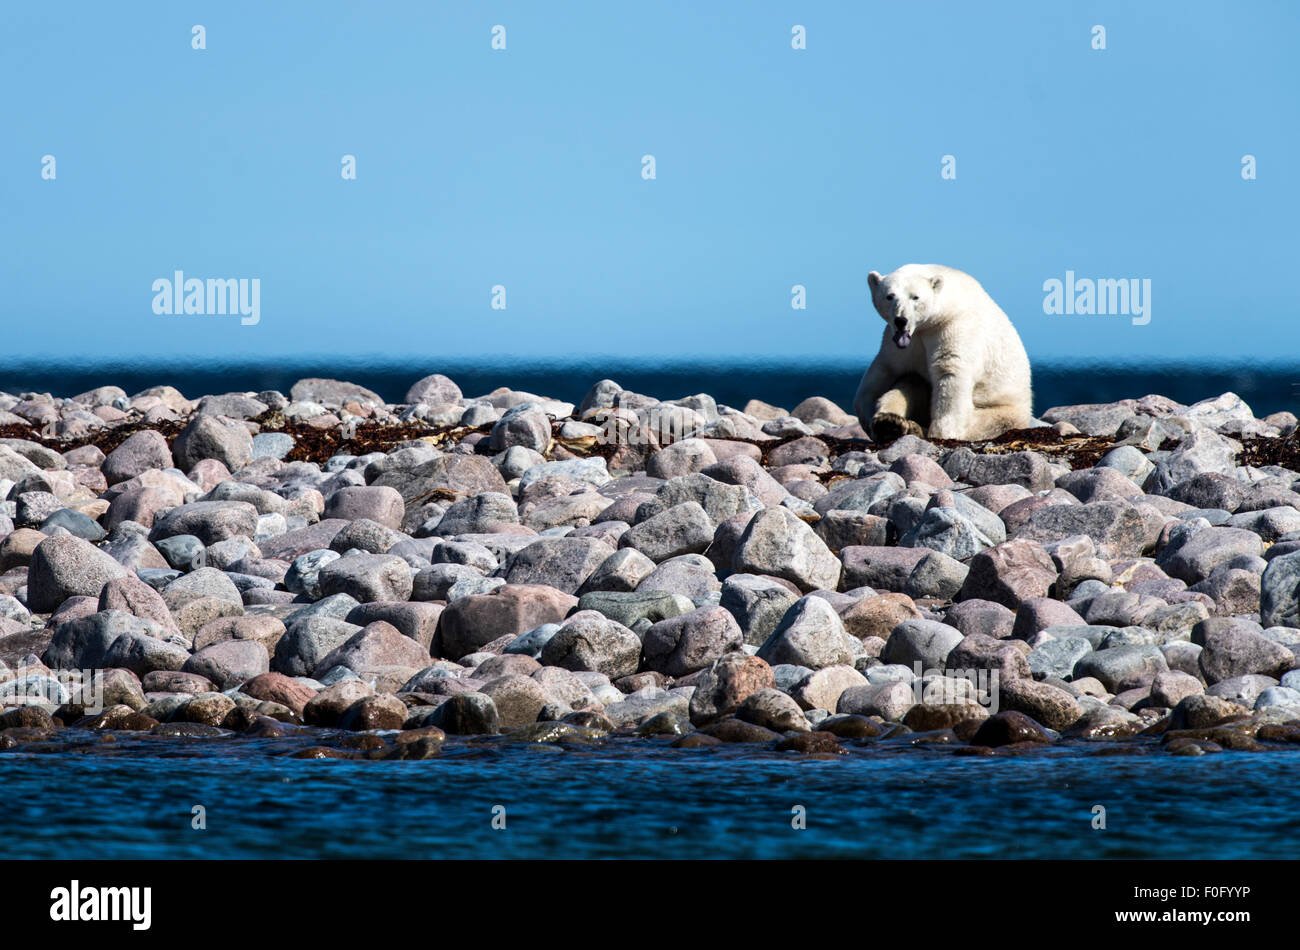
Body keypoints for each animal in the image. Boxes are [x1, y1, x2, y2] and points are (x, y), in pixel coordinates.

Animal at [852, 265, 1034, 444]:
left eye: (915, 297)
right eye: (889, 296)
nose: (901, 320)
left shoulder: (954, 327)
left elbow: (950, 374)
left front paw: (939, 434)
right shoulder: (900, 342)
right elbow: (886, 370)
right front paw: (873, 418)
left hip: (1005, 410)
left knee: (992, 423)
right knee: (911, 382)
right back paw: (890, 423)